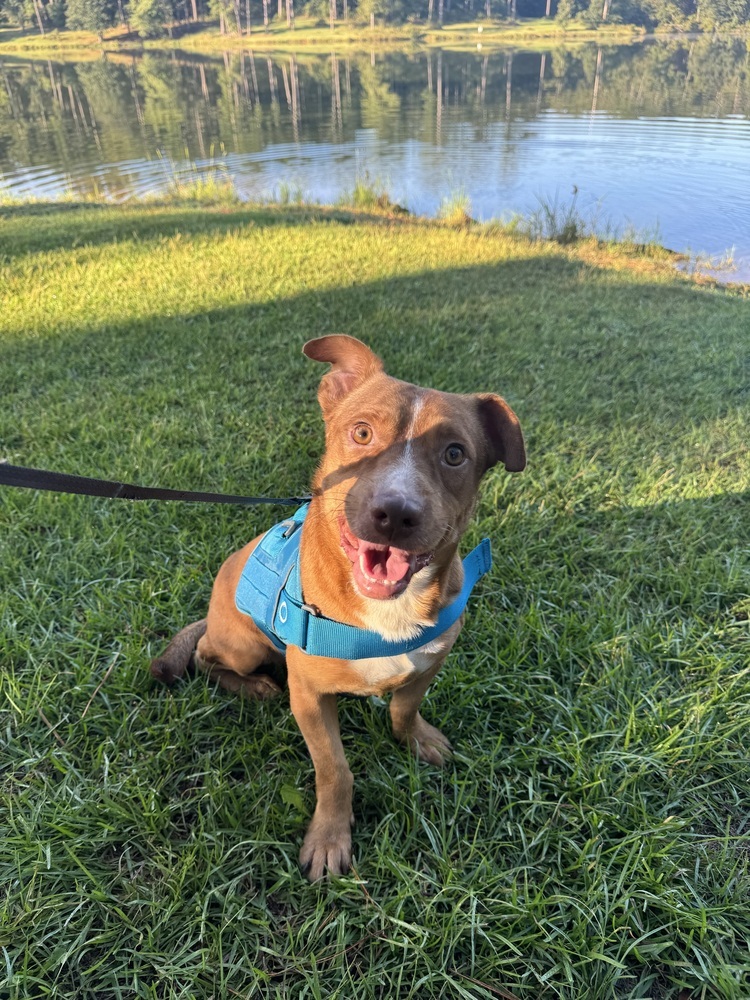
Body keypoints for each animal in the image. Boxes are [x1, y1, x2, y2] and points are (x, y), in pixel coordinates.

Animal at [152, 338, 524, 884]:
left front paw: (416, 738)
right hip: (241, 646)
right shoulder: (309, 698)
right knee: (204, 655)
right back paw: (253, 686)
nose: (395, 513)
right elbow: (335, 769)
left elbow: (404, 708)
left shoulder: (430, 662)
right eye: (362, 432)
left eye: (455, 454)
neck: (385, 610)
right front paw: (330, 836)